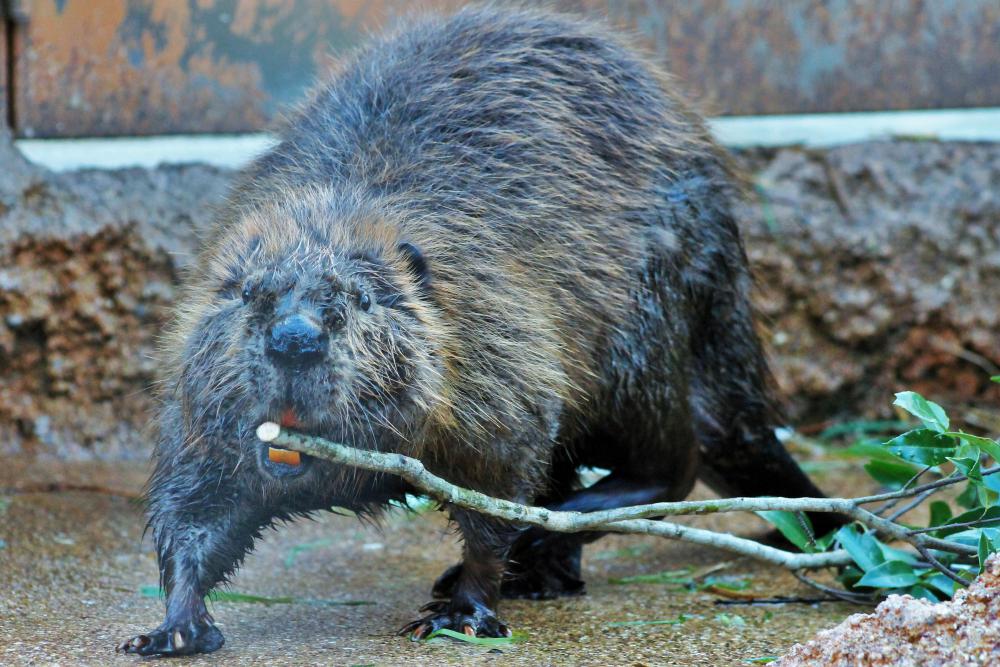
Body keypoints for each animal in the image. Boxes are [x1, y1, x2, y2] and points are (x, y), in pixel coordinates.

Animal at [117, 5, 840, 656]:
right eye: (249, 294)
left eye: (357, 301)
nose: (295, 340)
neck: (344, 212)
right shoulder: (194, 402)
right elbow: (193, 503)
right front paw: (173, 626)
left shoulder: (500, 347)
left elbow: (498, 491)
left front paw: (459, 610)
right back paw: (548, 568)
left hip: (654, 308)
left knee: (670, 461)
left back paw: (553, 534)